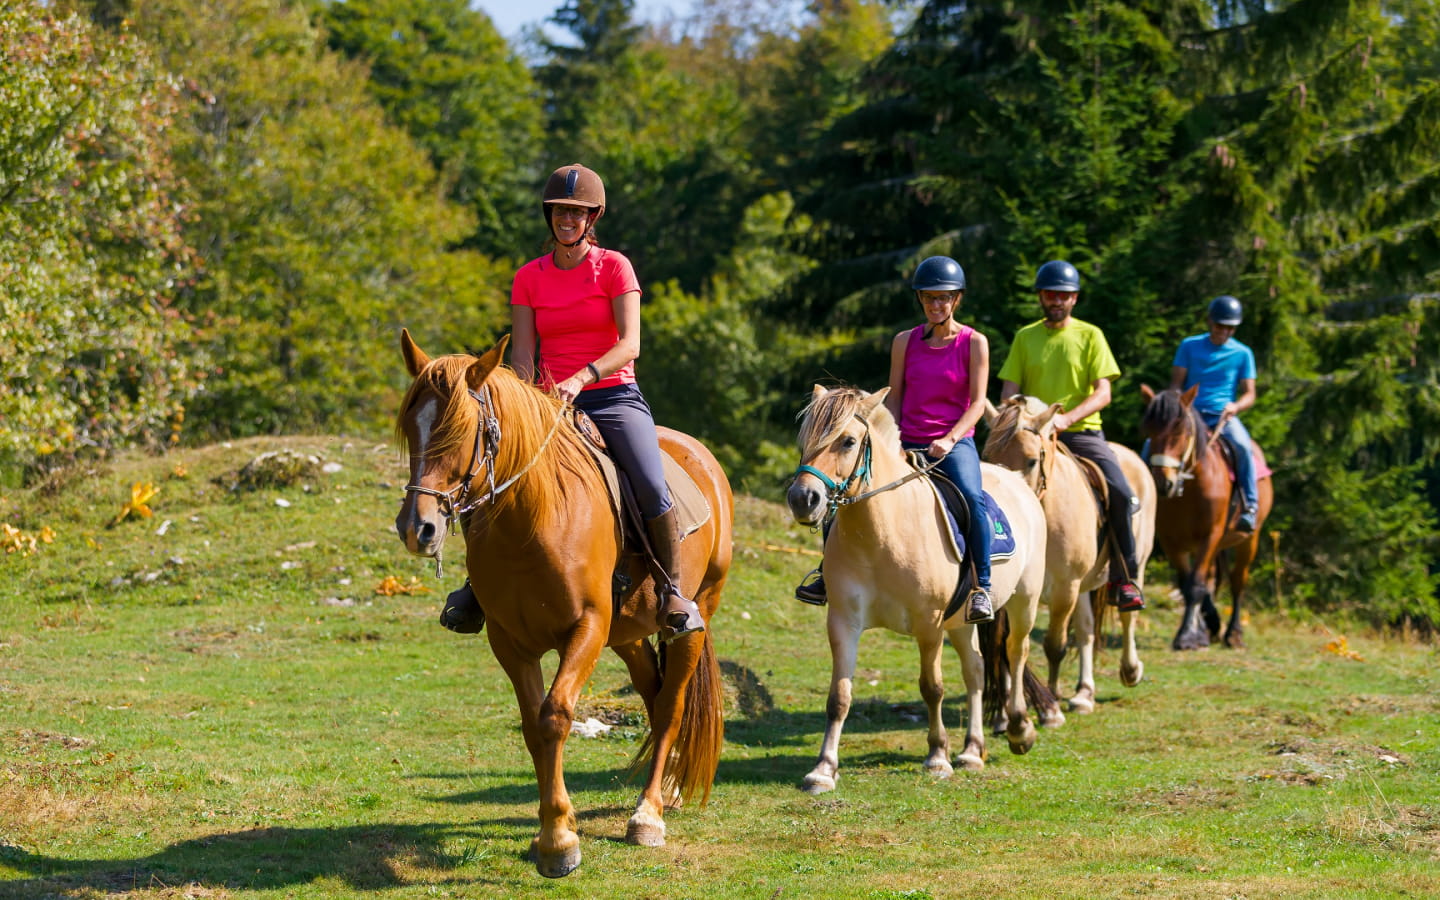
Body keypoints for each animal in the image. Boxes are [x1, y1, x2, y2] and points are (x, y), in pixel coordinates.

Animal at [394, 326, 731, 875]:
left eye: (462, 430)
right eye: (411, 427)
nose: (416, 528)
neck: (532, 520)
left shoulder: (586, 629)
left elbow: (554, 717)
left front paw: (559, 843)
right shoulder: (510, 640)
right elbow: (533, 727)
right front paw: (553, 830)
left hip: (691, 618)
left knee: (670, 705)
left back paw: (649, 813)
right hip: (626, 633)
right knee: (653, 693)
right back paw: (667, 788)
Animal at [789, 383, 1048, 789]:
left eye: (848, 441)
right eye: (805, 439)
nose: (803, 499)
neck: (882, 533)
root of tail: (1015, 479)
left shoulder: (930, 625)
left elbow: (932, 688)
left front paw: (937, 757)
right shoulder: (843, 622)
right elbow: (839, 696)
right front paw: (823, 769)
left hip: (1025, 602)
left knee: (1016, 653)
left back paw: (1020, 730)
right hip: (962, 621)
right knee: (975, 670)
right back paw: (972, 750)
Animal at [979, 397, 1157, 720]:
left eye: (1031, 460)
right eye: (987, 456)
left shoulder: (1065, 588)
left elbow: (1054, 645)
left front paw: (1050, 704)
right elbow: (1007, 645)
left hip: (1134, 564)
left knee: (1128, 617)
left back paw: (1130, 670)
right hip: (1083, 587)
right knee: (1086, 631)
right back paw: (1084, 693)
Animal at [1134, 383, 1272, 645]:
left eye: (1180, 431)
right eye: (1148, 430)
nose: (1162, 483)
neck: (1192, 487)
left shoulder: (1211, 535)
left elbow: (1196, 584)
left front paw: (1187, 635)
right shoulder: (1171, 541)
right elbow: (1189, 582)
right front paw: (1203, 627)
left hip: (1250, 539)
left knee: (1238, 580)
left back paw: (1234, 634)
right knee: (1212, 578)